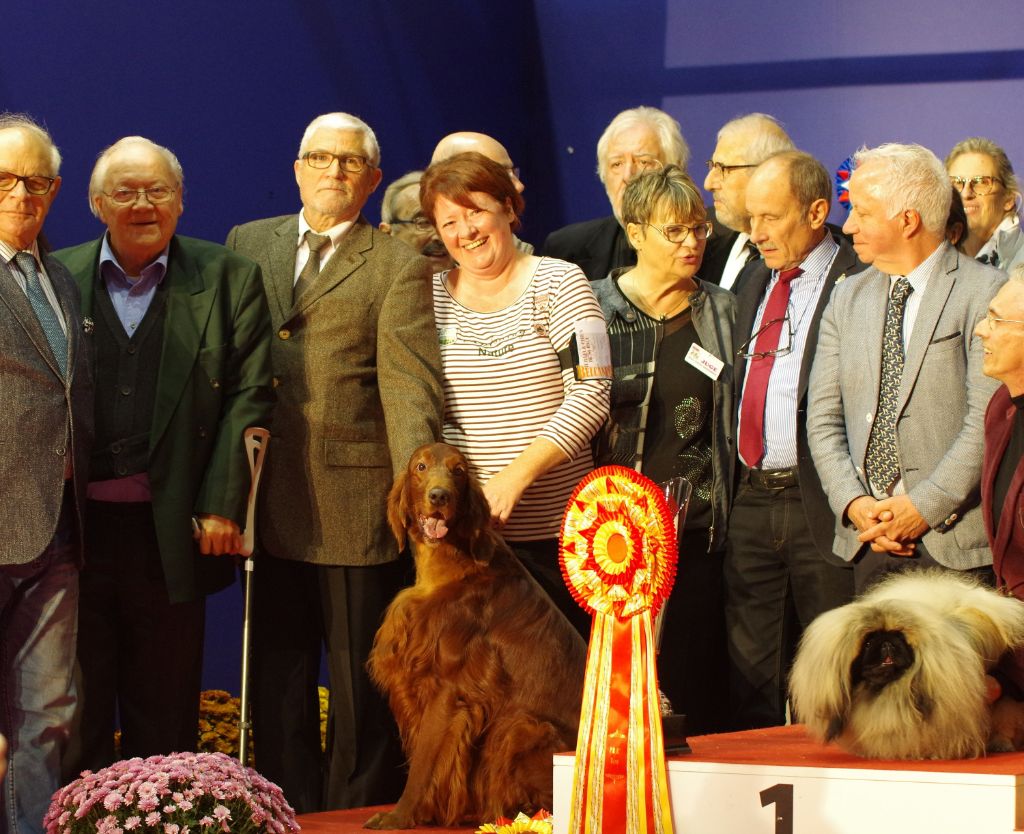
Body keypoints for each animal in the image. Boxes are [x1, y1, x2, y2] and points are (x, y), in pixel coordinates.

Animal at [366, 444, 589, 827]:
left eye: (459, 471)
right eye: (420, 467)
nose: (439, 496)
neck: (452, 564)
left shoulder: (448, 689)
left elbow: (423, 763)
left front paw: (398, 817)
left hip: (523, 728)